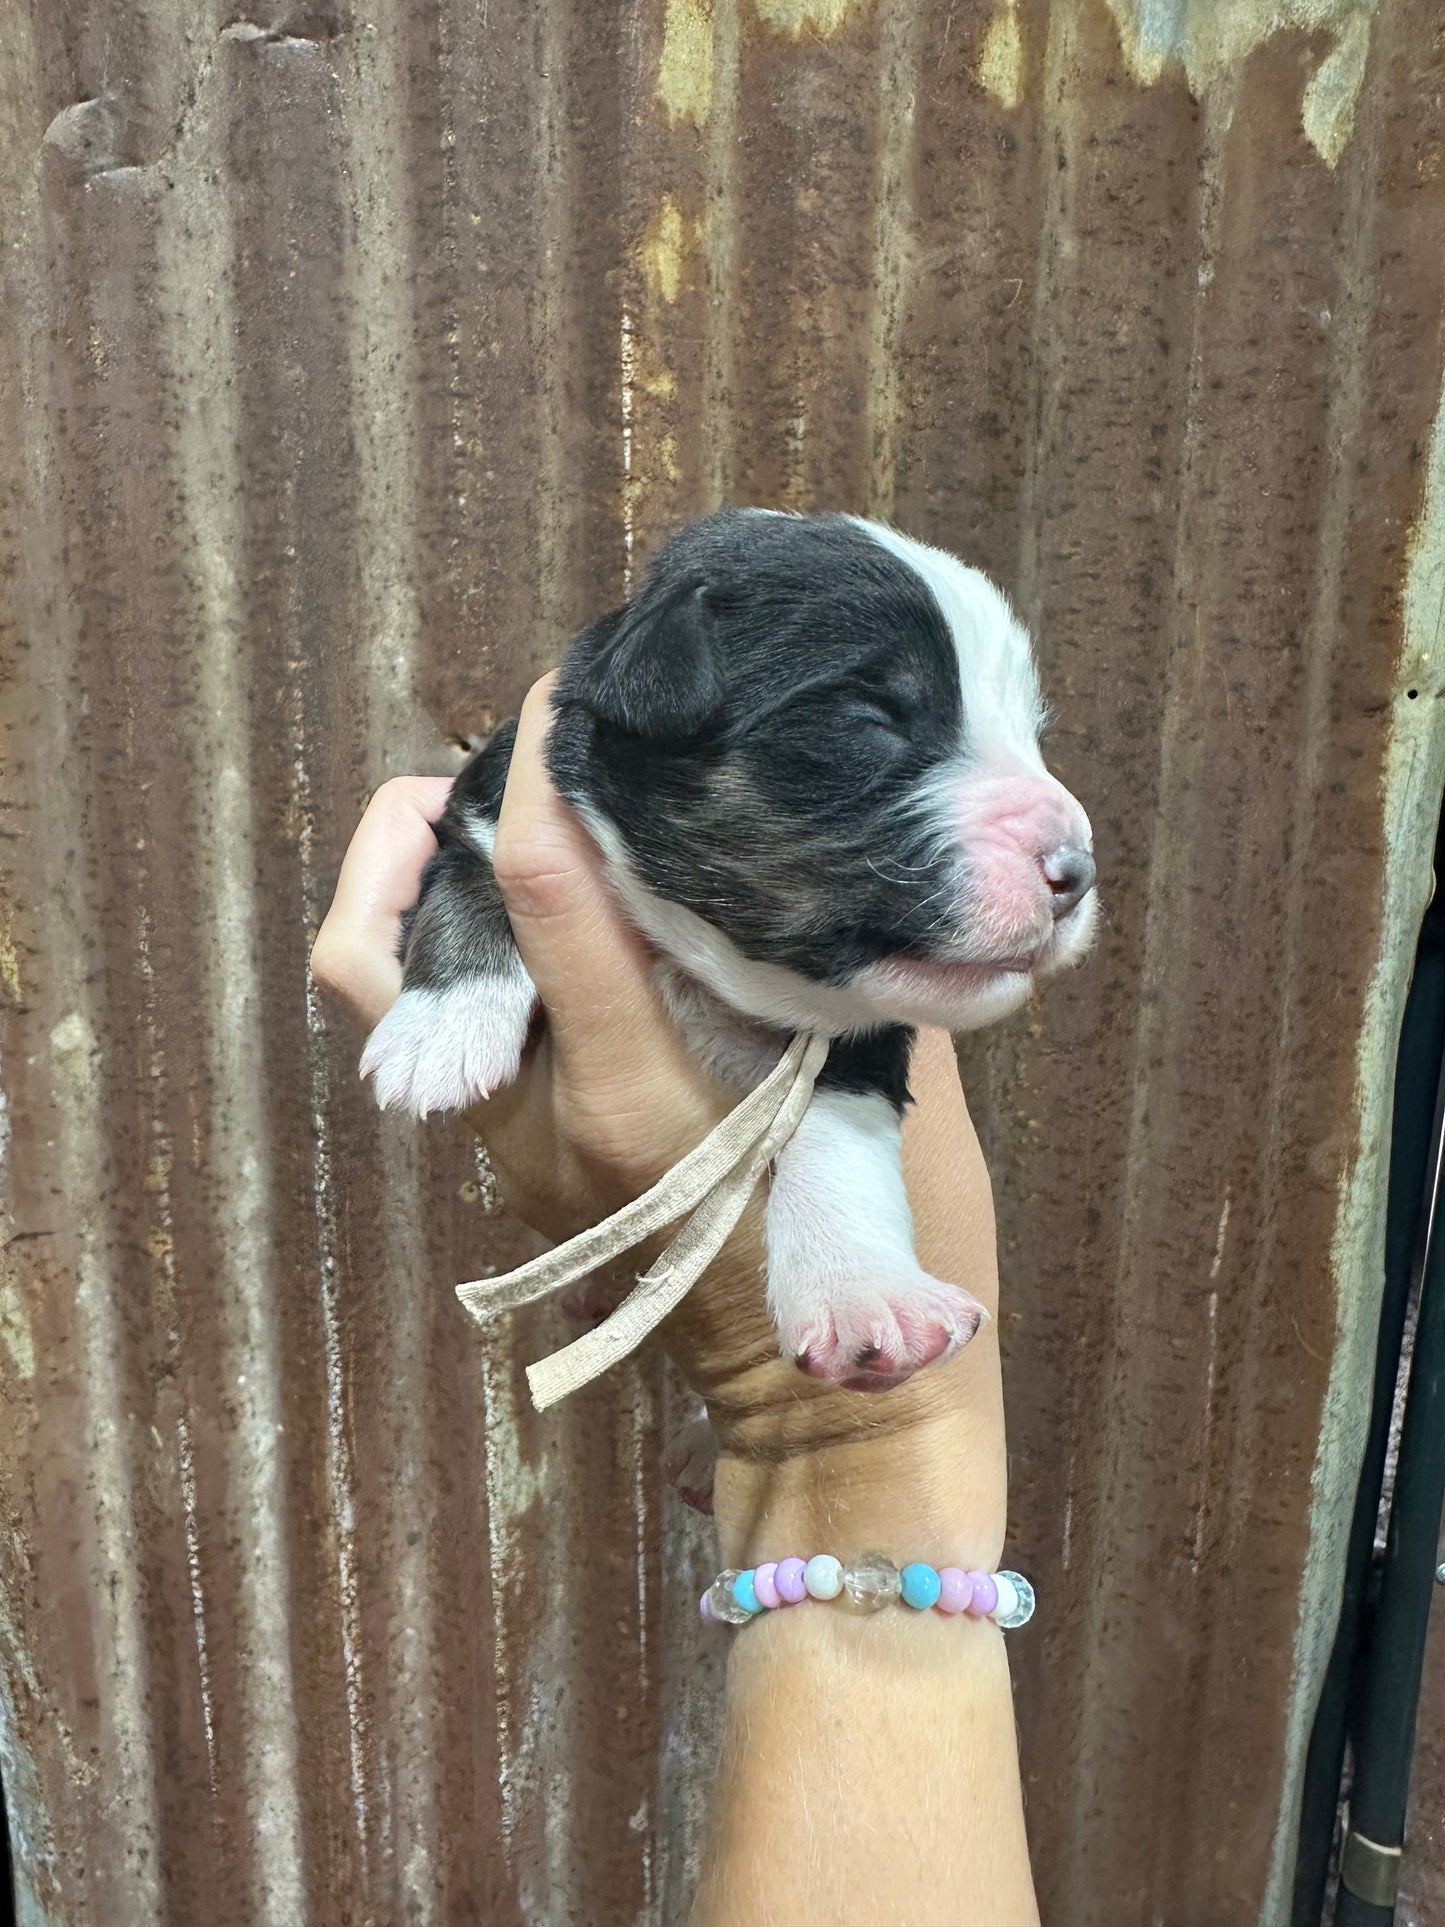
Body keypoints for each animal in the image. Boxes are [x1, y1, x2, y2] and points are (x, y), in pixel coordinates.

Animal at [362, 508, 1094, 1387]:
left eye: (1031, 733)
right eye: (873, 718)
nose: (1077, 871)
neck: (709, 965)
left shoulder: (856, 1022)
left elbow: (837, 1116)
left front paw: (864, 1292)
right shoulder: (484, 805)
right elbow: (466, 882)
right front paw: (440, 1032)